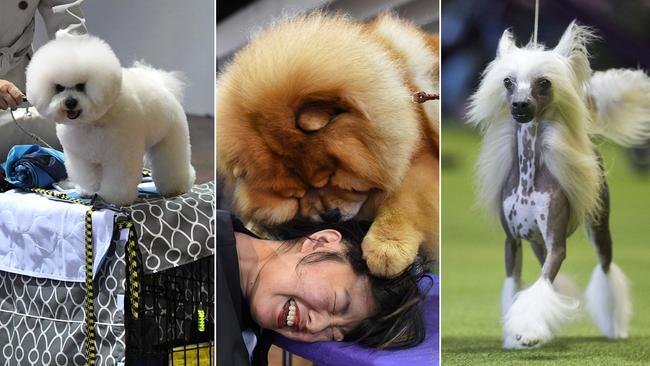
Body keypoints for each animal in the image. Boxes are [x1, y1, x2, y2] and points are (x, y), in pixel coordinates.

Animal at [24, 33, 195, 206]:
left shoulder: (120, 155)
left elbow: (119, 179)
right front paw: (88, 191)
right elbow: (87, 176)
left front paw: (115, 197)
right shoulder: (81, 157)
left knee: (172, 164)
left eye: (81, 86)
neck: (92, 122)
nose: (70, 102)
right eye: (59, 88)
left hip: (170, 141)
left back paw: (177, 186)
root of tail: (164, 87)